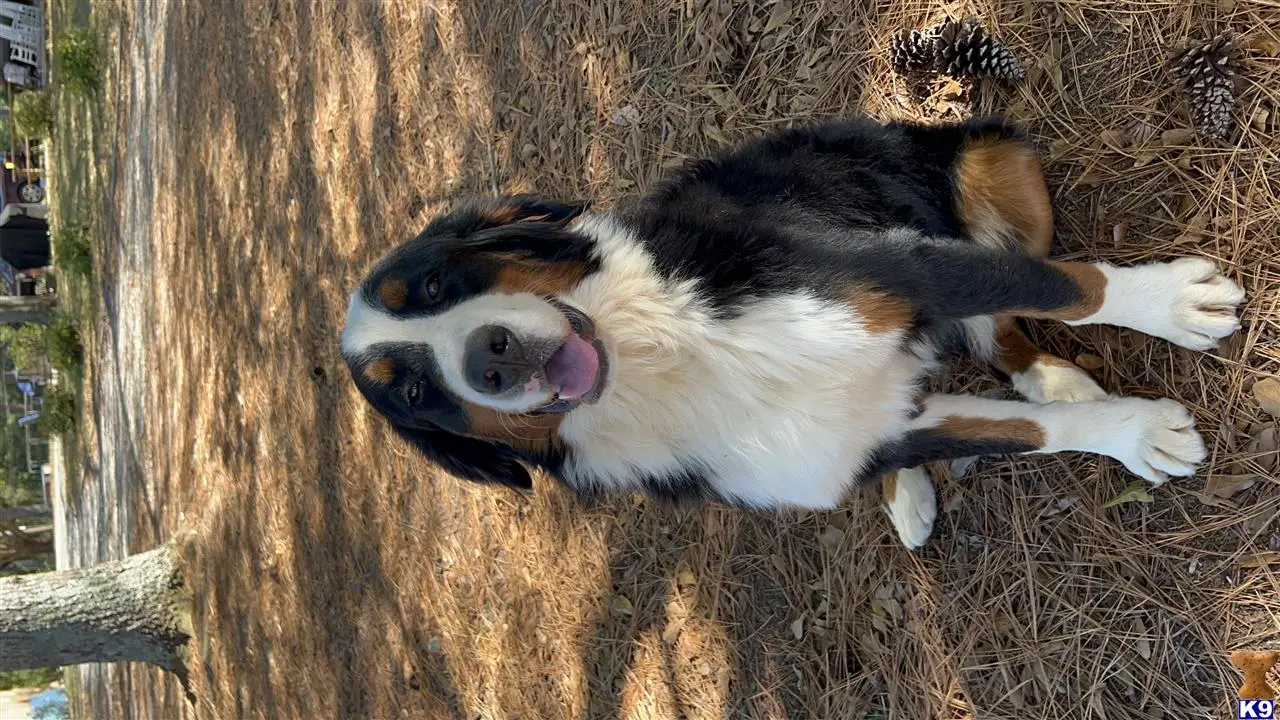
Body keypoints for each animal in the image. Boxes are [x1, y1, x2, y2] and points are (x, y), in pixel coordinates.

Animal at [337, 116, 1239, 543]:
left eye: (435, 282)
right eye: (413, 394)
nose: (486, 361)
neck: (669, 362)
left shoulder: (897, 268)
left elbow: (1071, 288)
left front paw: (1171, 307)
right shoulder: (845, 441)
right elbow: (1028, 436)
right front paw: (1134, 431)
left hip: (990, 161)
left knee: (1004, 315)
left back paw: (1049, 373)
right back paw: (911, 492)